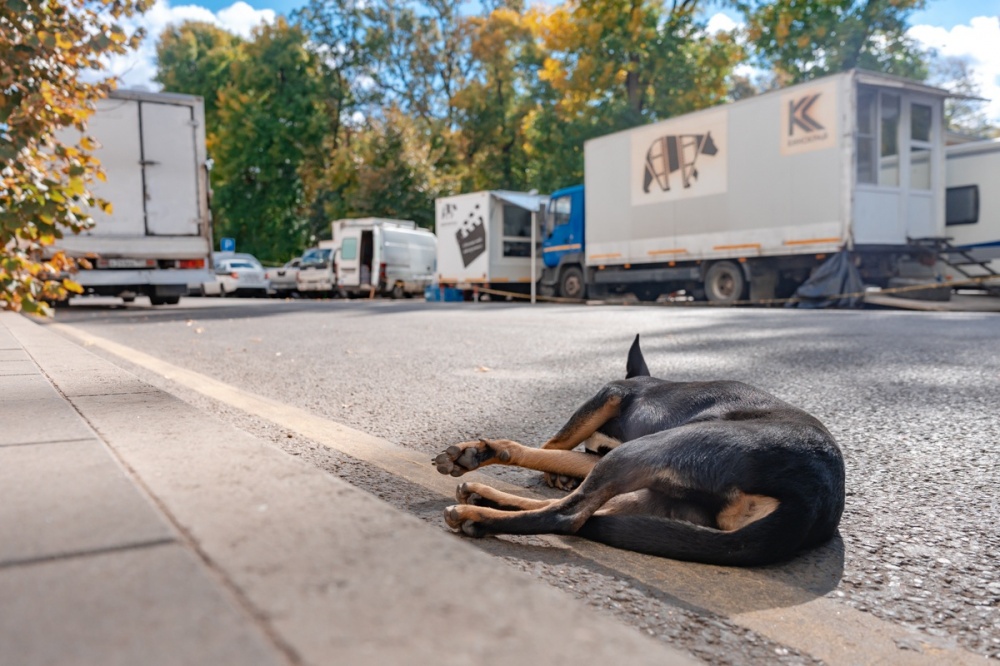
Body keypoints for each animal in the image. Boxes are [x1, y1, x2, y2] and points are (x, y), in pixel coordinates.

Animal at [432, 334, 844, 564]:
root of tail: (812, 504)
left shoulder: (612, 395)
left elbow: (554, 444)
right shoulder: (605, 452)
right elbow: (556, 454)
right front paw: (480, 453)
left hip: (648, 450)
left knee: (568, 515)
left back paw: (476, 514)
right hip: (650, 485)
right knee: (585, 511)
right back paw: (480, 493)